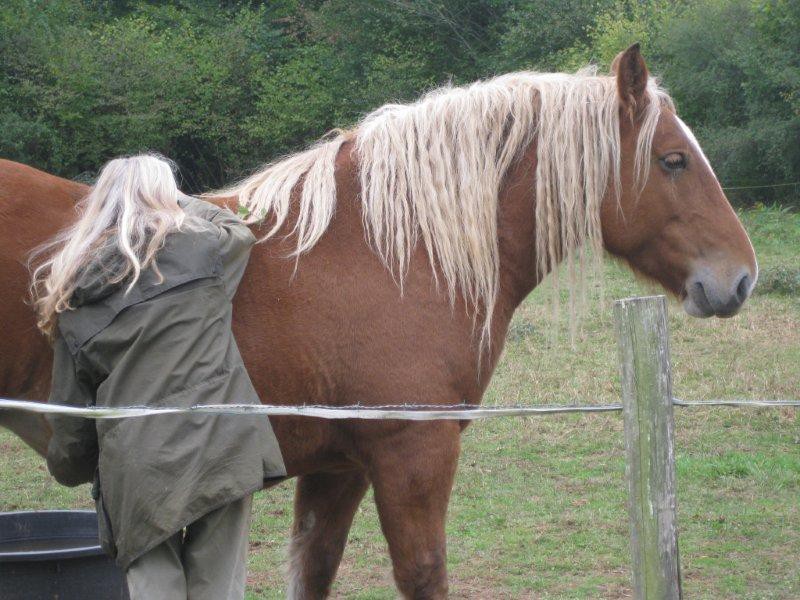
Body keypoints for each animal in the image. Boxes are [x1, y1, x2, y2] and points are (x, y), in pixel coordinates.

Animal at [0, 44, 756, 596]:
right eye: (673, 160)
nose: (740, 277)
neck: (387, 252)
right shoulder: (413, 455)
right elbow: (423, 576)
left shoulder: (339, 469)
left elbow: (313, 571)